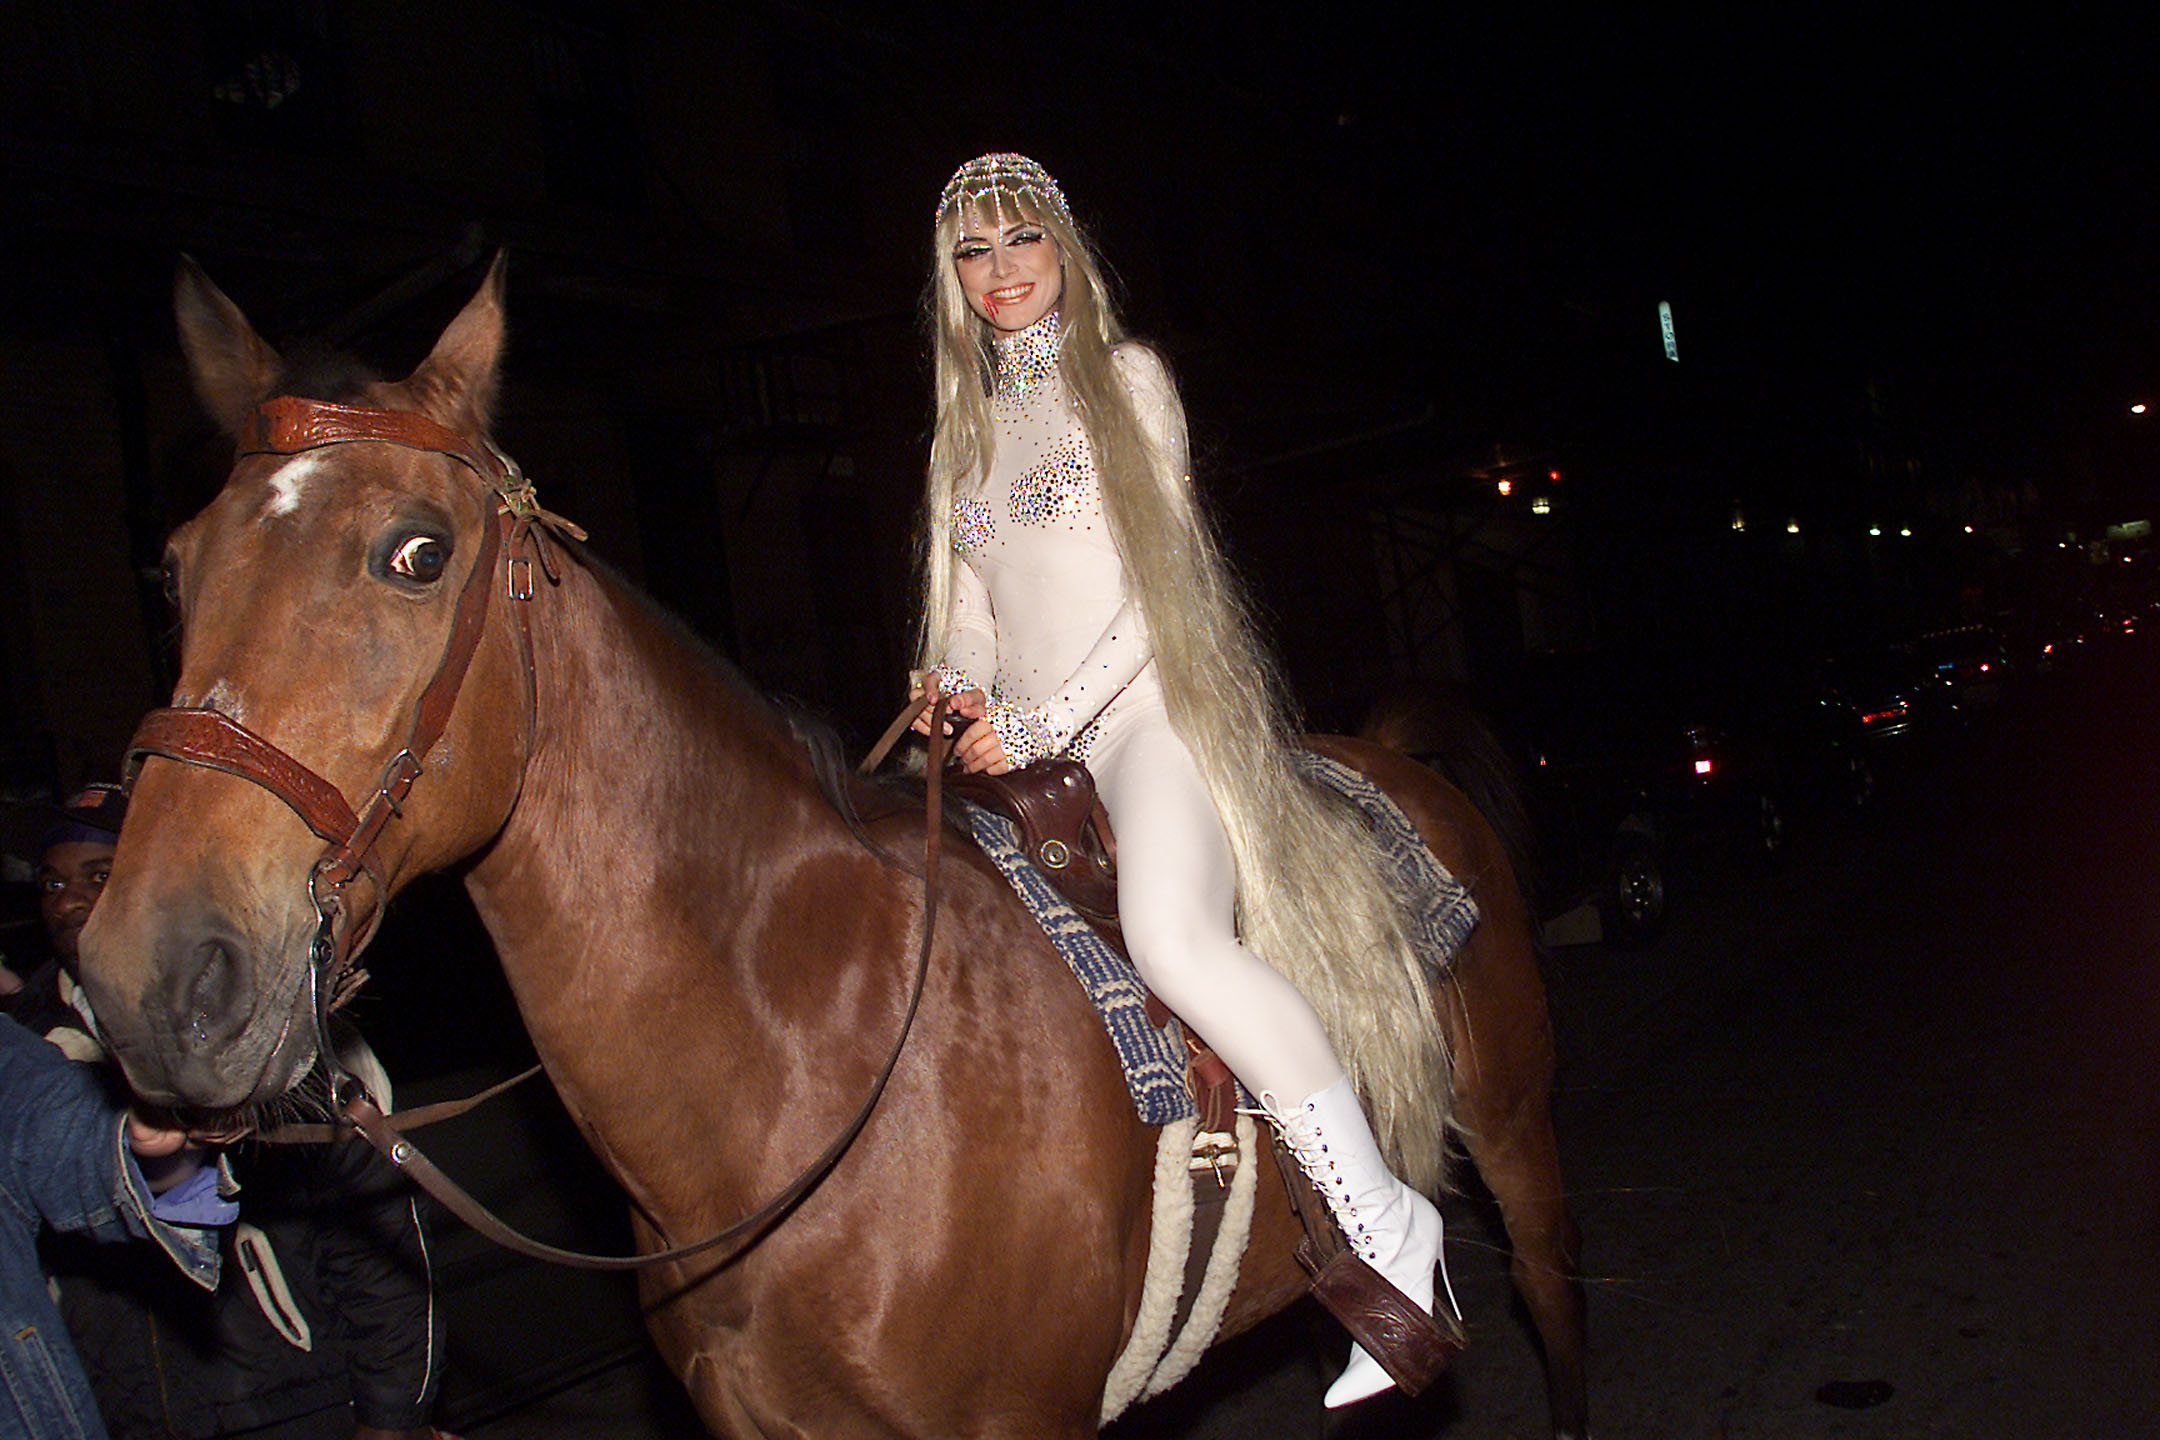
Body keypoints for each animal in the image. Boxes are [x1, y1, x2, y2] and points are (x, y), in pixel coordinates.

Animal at [76, 262, 1589, 1440]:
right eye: (173, 566)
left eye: (415, 552)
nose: (155, 977)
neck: (811, 1054)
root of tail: (1393, 756)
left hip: (1520, 1145)